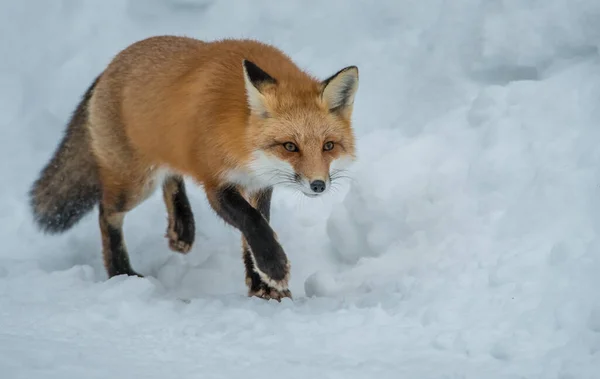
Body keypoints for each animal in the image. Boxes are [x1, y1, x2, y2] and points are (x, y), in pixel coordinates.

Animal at [30, 36, 358, 302]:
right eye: (290, 146)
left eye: (328, 146)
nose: (318, 185)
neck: (243, 139)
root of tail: (110, 66)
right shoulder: (216, 182)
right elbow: (252, 223)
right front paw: (274, 267)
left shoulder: (259, 184)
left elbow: (255, 230)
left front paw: (260, 284)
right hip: (135, 184)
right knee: (106, 211)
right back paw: (120, 272)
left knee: (172, 176)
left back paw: (182, 227)